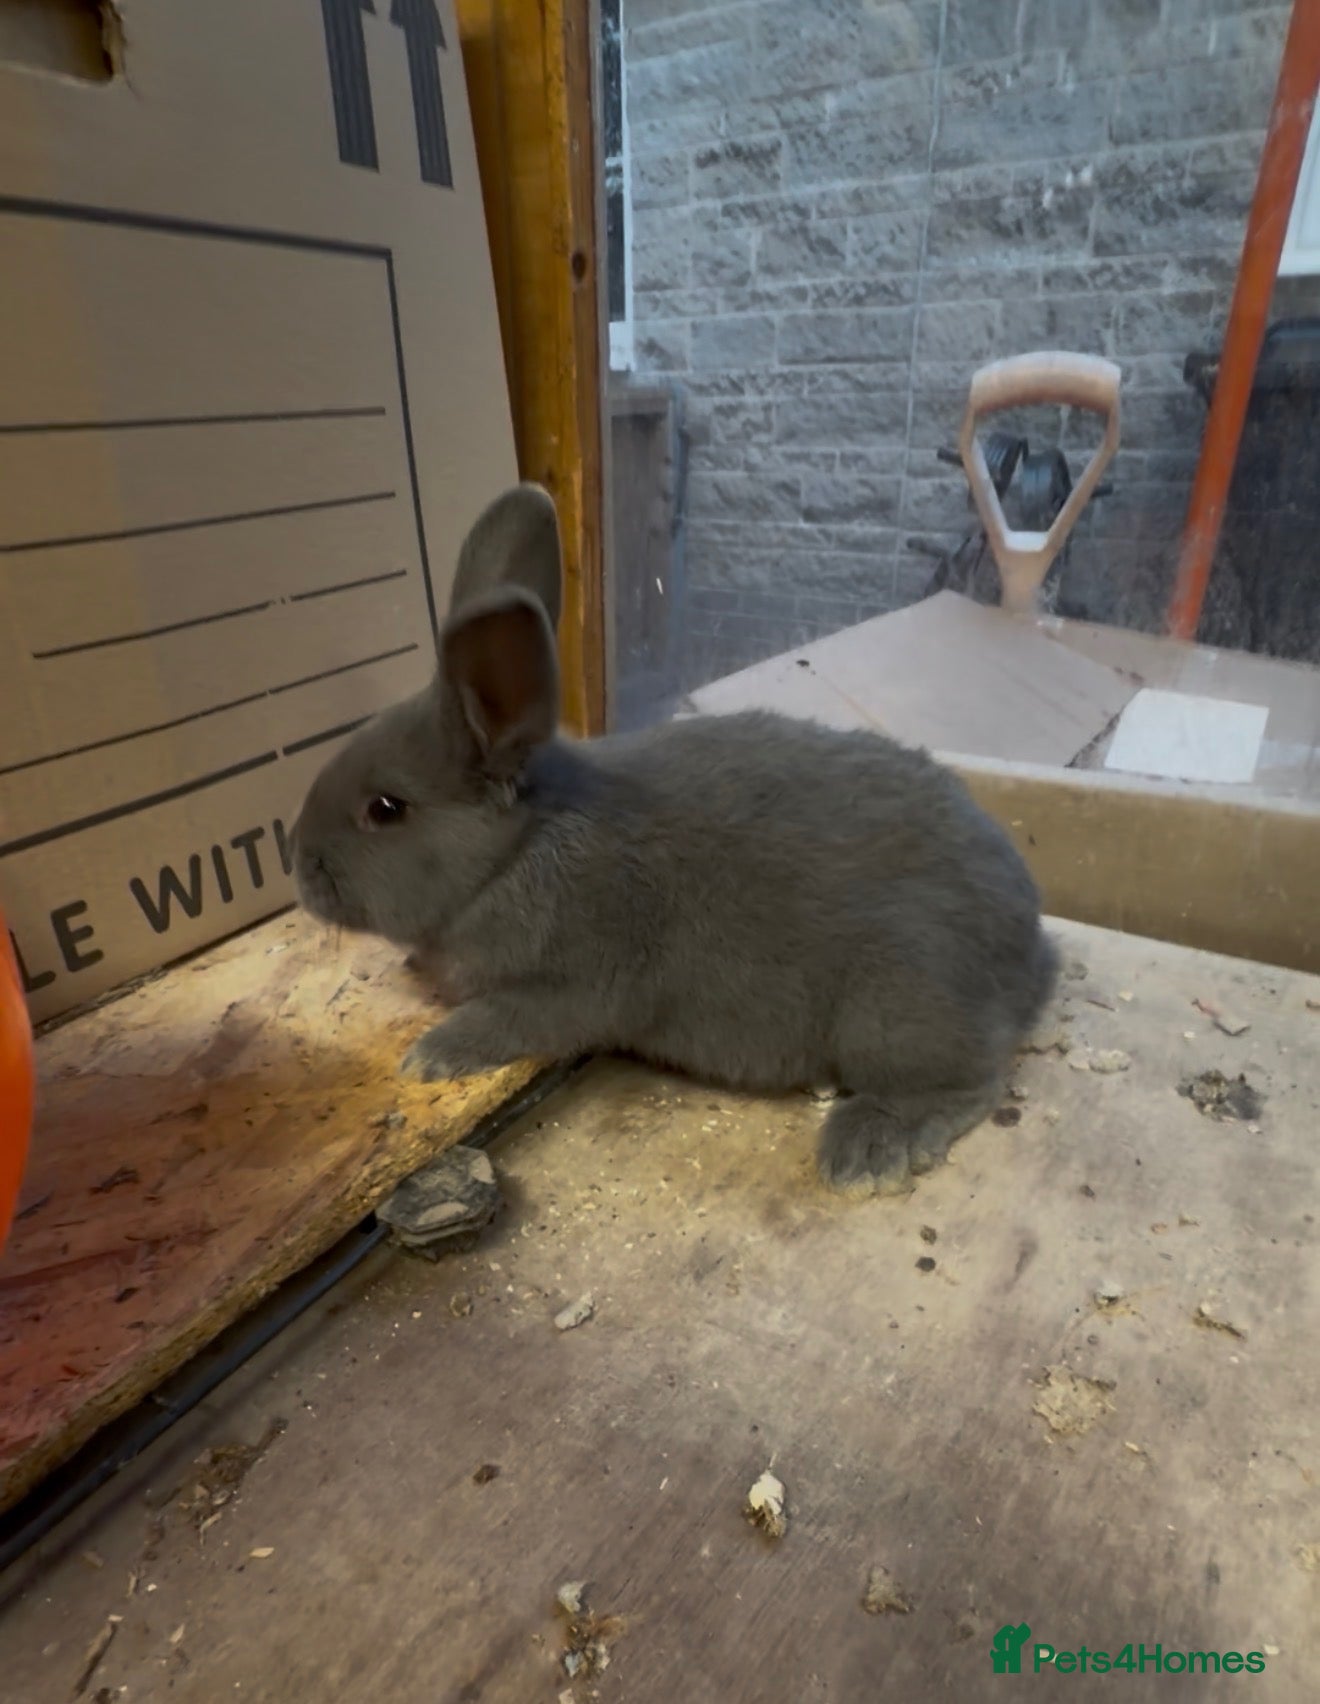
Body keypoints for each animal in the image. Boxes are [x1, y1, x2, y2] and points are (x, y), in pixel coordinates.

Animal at [293, 483, 1059, 1195]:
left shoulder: (574, 985)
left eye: (385, 808)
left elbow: (508, 1018)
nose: (296, 862)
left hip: (894, 1009)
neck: (515, 854)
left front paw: (432, 1054)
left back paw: (866, 1150)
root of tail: (1030, 957)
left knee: (964, 1083)